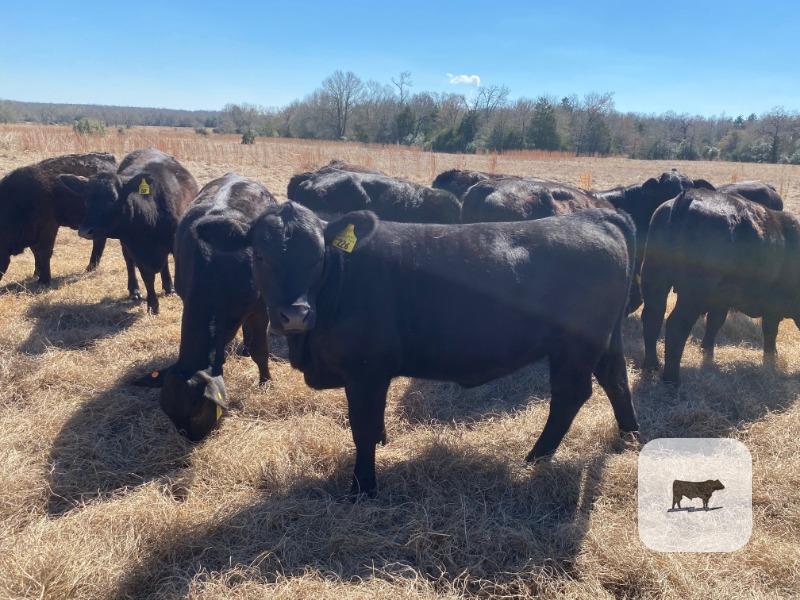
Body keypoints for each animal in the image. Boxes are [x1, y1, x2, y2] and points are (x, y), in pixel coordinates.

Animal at [0, 152, 136, 286]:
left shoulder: (48, 227)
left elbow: (43, 252)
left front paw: (44, 281)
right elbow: (36, 252)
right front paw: (36, 274)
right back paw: (91, 268)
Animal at [59, 148, 198, 314]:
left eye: (113, 198)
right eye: (86, 199)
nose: (85, 230)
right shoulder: (135, 249)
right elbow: (147, 277)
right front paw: (153, 305)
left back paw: (168, 286)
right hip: (125, 245)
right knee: (129, 263)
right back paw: (135, 290)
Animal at [133, 173, 276, 440]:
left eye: (197, 412)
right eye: (169, 414)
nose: (192, 438)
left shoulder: (260, 307)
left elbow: (261, 351)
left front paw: (266, 382)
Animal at [245, 201, 639, 497]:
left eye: (317, 257)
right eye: (259, 255)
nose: (296, 314)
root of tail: (596, 216)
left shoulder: (365, 370)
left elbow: (362, 427)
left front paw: (363, 487)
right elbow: (374, 422)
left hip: (575, 346)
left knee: (571, 395)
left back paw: (535, 458)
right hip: (604, 340)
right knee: (616, 381)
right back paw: (629, 437)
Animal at [641, 188, 800, 383]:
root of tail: (688, 195)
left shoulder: (721, 301)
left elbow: (714, 323)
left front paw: (707, 353)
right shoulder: (772, 306)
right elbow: (770, 333)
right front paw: (770, 361)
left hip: (655, 279)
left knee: (652, 318)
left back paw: (651, 366)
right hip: (692, 293)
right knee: (676, 325)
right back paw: (672, 379)